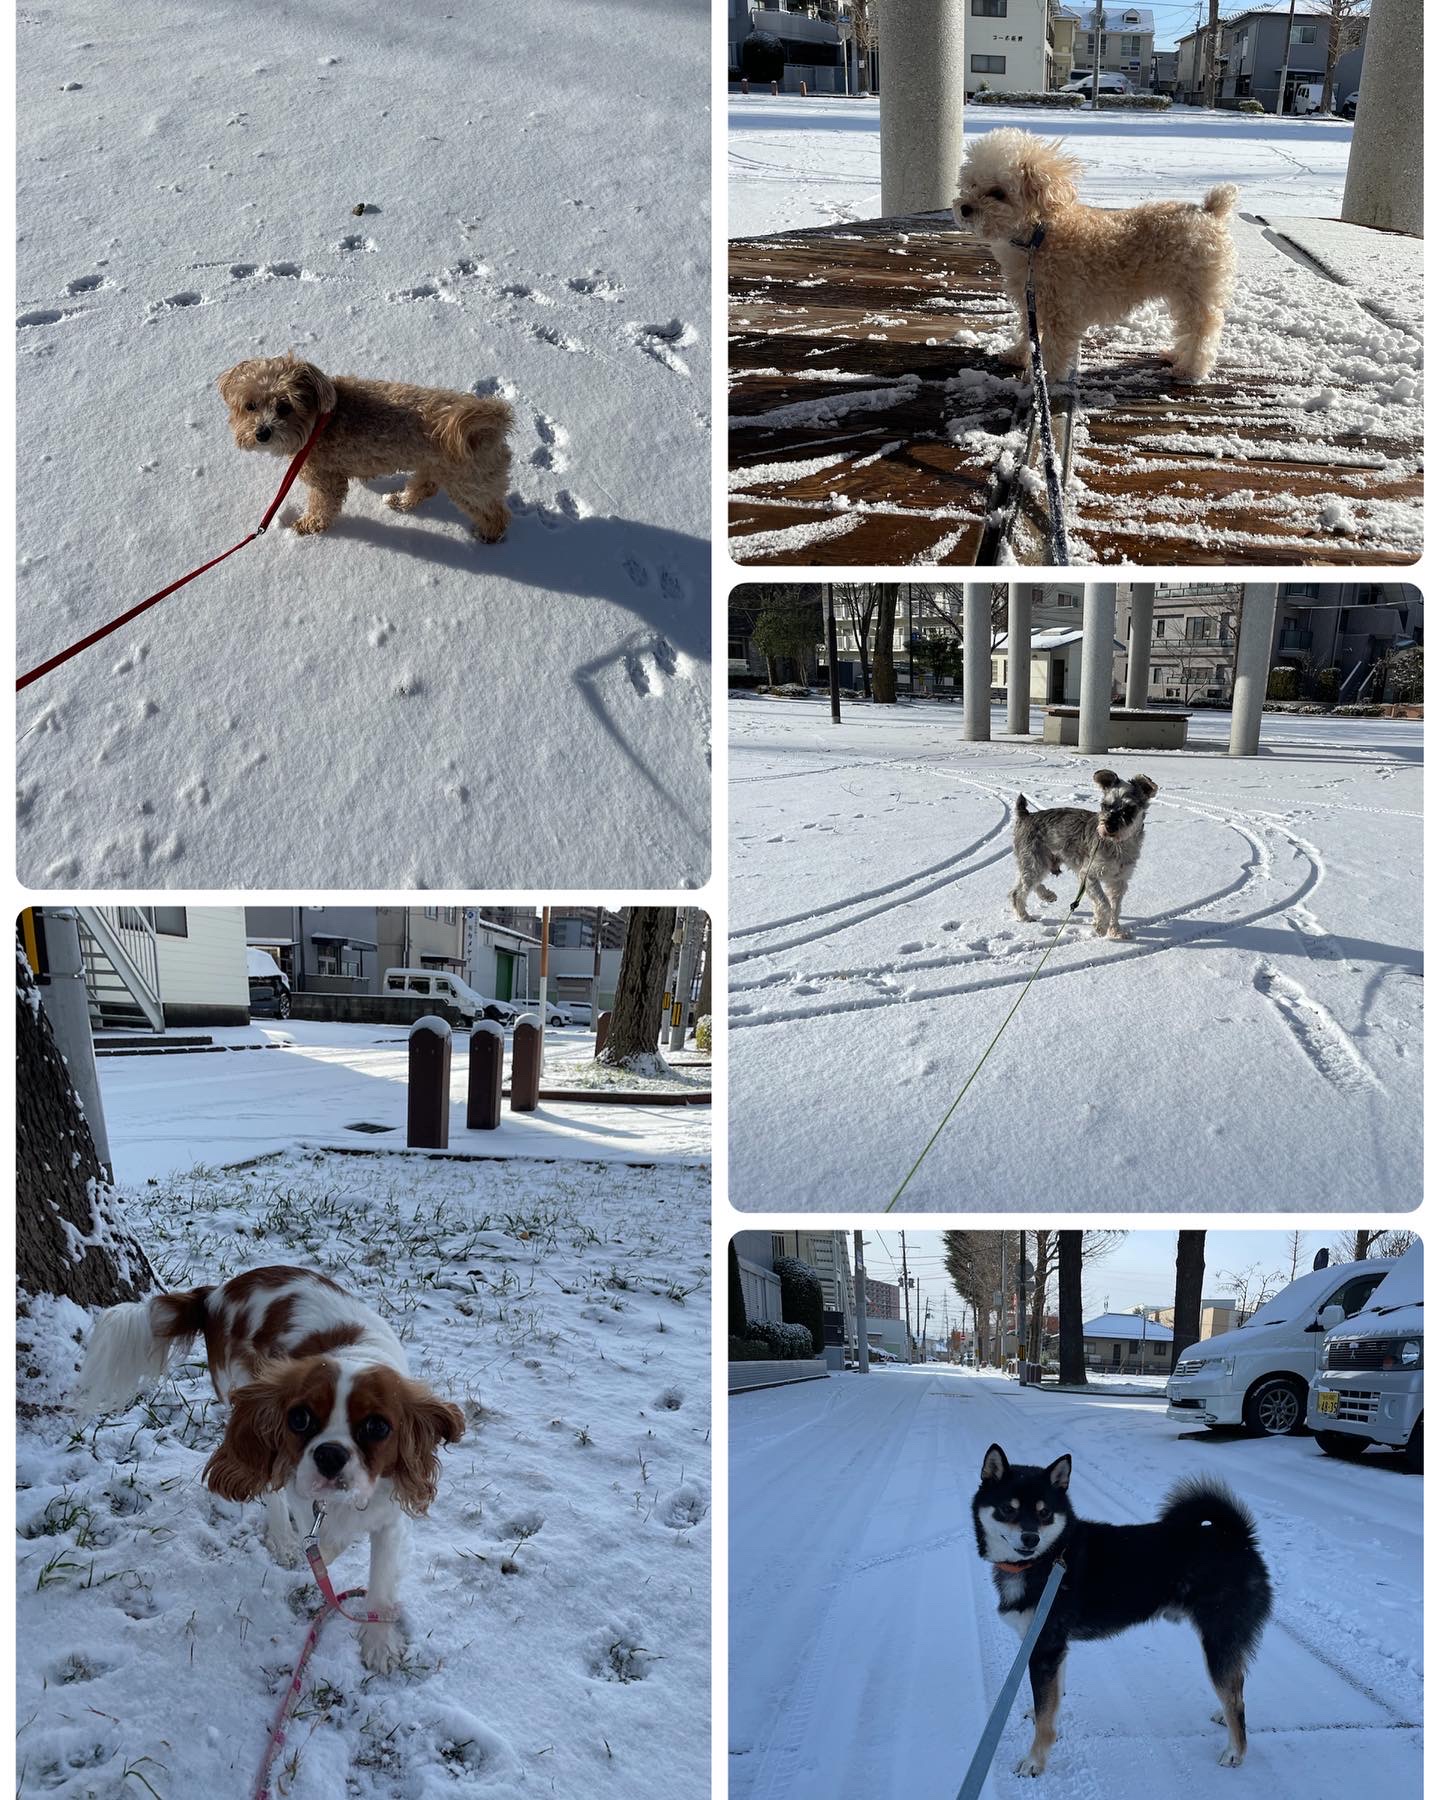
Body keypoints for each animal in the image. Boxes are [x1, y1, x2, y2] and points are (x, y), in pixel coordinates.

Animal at [70, 1267, 464, 1670]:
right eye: (300, 1419)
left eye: (377, 1427)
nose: (330, 1455)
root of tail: (215, 1293)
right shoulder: (300, 1483)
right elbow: (321, 1535)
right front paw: (318, 1552)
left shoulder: (388, 1513)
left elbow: (379, 1579)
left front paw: (378, 1644)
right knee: (270, 1491)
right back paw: (283, 1539)